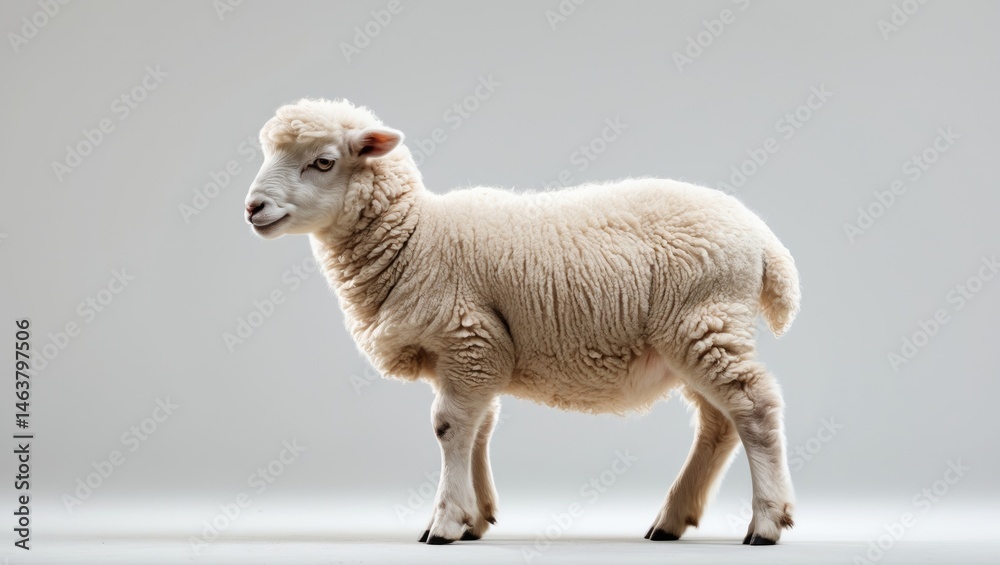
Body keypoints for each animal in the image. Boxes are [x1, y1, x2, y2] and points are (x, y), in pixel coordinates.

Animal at [243, 98, 801, 546]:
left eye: (323, 162)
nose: (252, 207)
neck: (416, 237)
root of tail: (763, 238)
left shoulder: (467, 336)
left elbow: (449, 426)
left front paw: (444, 523)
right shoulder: (476, 349)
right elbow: (478, 427)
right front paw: (476, 517)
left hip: (703, 321)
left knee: (754, 408)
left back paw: (766, 523)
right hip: (692, 335)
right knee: (718, 423)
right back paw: (671, 519)